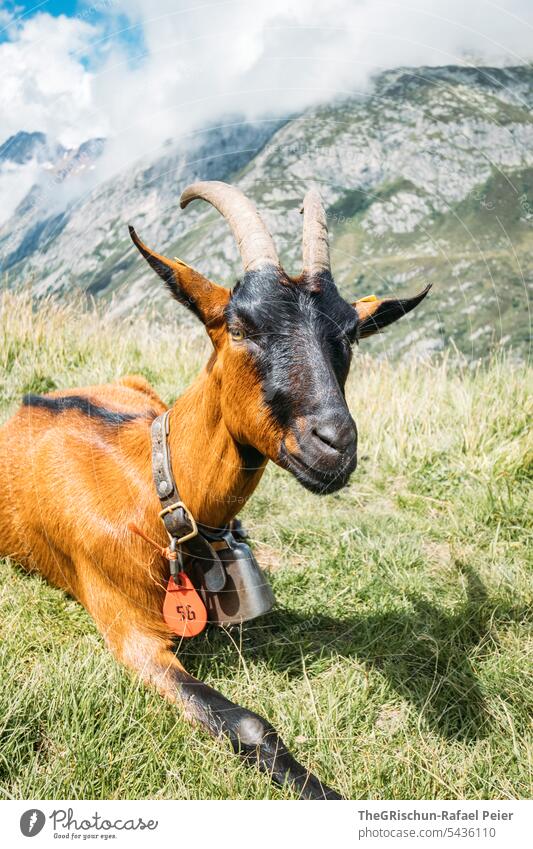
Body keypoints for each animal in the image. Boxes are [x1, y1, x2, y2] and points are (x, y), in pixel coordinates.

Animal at [0, 182, 428, 800]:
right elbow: (248, 722)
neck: (155, 493)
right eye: (240, 326)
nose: (335, 444)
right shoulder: (132, 636)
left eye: (349, 334)